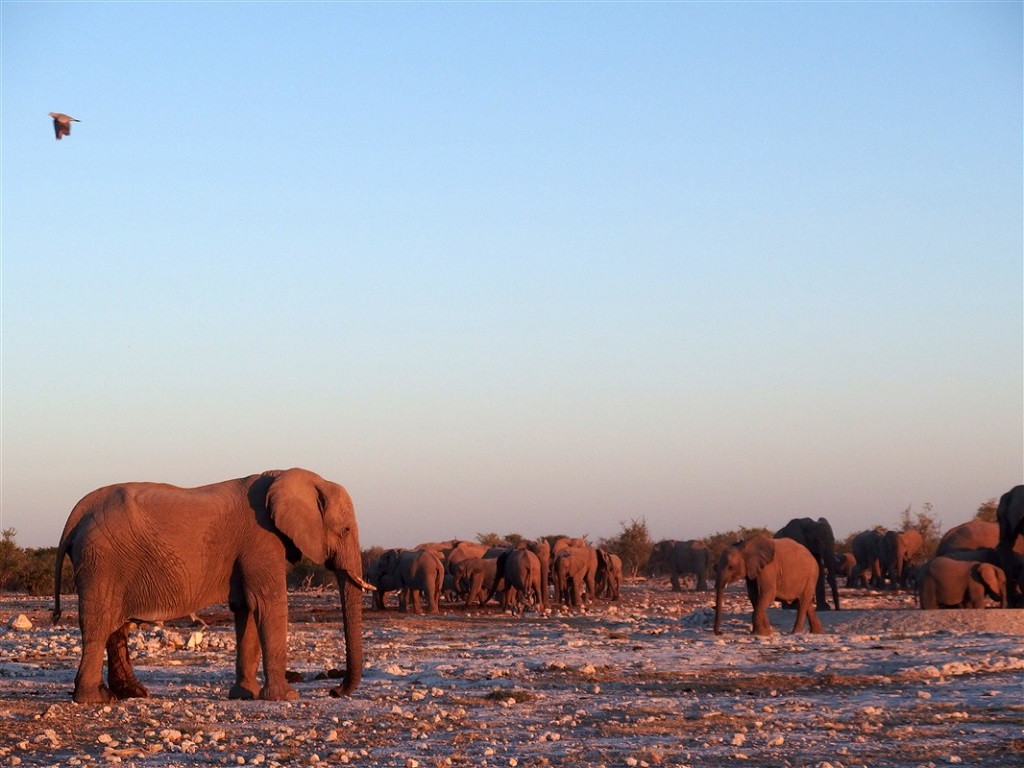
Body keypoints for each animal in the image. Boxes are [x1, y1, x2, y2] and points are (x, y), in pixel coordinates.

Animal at [51, 466, 370, 708]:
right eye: (345, 530)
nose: (334, 691)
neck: (284, 475)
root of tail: (78, 513)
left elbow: (246, 608)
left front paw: (245, 695)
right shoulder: (261, 539)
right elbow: (267, 603)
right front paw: (285, 697)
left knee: (116, 627)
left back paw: (129, 694)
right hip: (101, 562)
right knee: (99, 624)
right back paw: (95, 699)